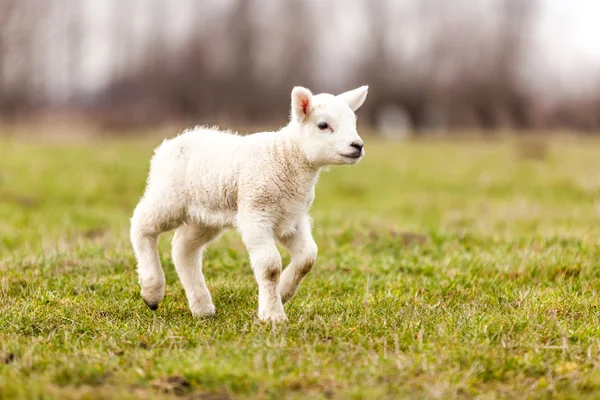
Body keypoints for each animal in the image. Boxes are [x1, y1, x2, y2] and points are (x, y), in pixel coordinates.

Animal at [129, 84, 368, 322]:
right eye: (323, 125)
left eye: (353, 122)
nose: (357, 145)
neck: (286, 157)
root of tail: (168, 146)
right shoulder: (256, 214)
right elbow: (270, 266)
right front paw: (272, 315)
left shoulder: (292, 218)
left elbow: (308, 257)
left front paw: (283, 292)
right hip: (169, 197)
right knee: (142, 225)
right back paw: (151, 291)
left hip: (205, 215)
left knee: (183, 249)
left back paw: (202, 308)